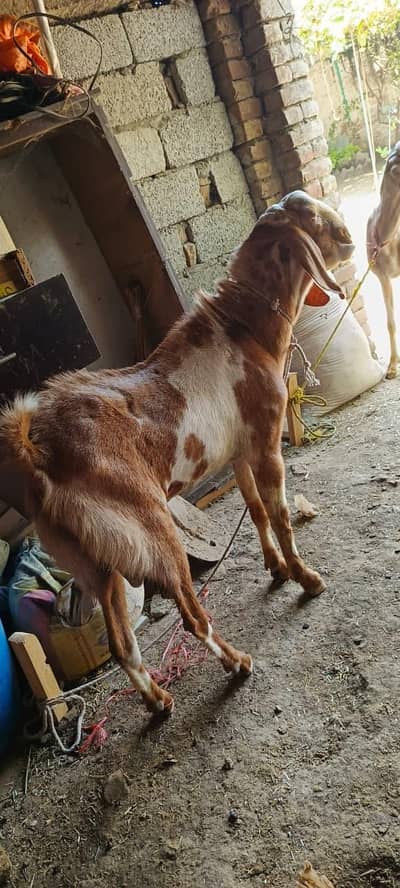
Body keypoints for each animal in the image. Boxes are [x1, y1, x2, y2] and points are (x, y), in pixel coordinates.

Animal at [0, 191, 354, 715]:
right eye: (312, 218)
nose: (350, 236)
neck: (243, 329)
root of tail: (39, 452)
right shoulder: (266, 443)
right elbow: (281, 515)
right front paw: (305, 577)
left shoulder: (237, 452)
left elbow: (254, 510)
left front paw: (275, 568)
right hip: (153, 531)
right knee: (190, 615)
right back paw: (236, 663)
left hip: (93, 559)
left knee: (122, 642)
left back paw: (158, 701)